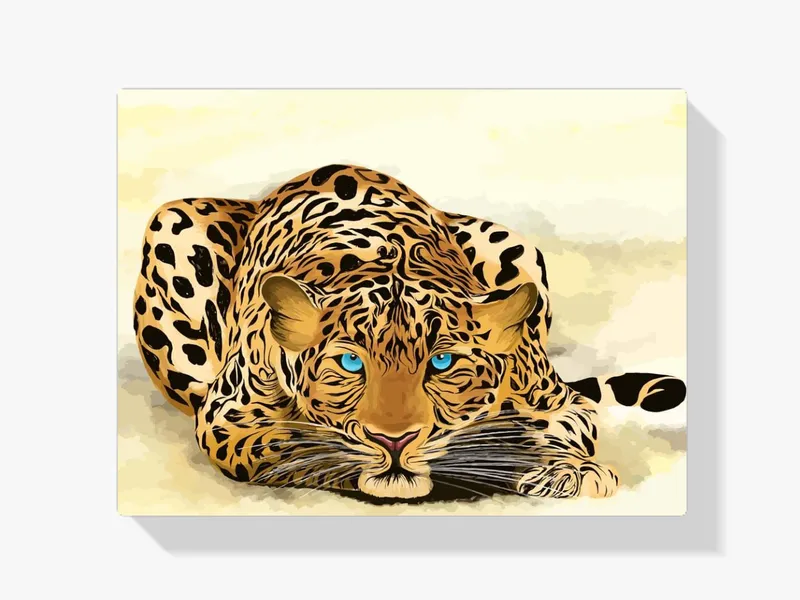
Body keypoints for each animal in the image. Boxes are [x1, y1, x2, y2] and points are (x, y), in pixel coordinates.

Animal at [133, 164, 686, 501]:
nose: (393, 441)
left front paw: (563, 466)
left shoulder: (557, 400)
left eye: (442, 363)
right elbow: (285, 445)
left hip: (513, 244)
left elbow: (566, 425)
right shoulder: (226, 416)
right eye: (350, 362)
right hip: (171, 229)